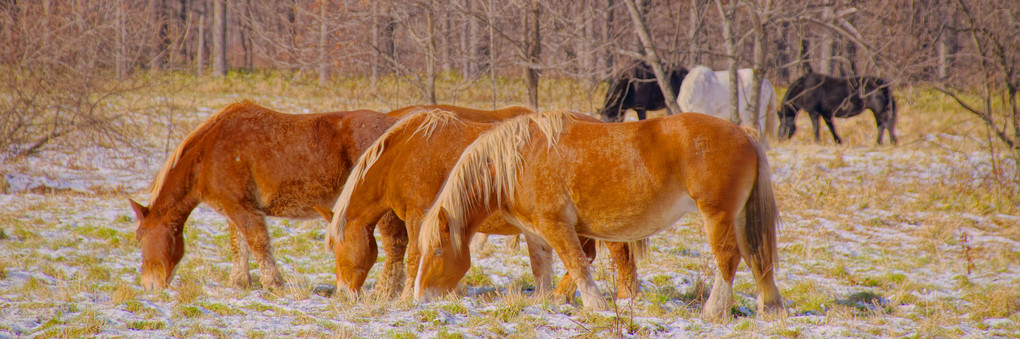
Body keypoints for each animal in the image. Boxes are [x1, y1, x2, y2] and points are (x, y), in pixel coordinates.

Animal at [128, 100, 397, 287]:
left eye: (140, 238)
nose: (149, 285)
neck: (208, 155)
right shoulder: (233, 208)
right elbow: (239, 245)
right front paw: (239, 282)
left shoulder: (244, 208)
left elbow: (258, 243)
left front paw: (273, 283)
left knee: (395, 243)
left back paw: (386, 291)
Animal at [322, 108, 640, 300]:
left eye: (336, 249)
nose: (342, 292)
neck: (405, 153)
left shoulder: (418, 217)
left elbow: (414, 258)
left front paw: (406, 297)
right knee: (587, 255)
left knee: (618, 255)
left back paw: (624, 297)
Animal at [412, 111, 779, 320]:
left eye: (438, 251)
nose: (420, 297)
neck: (517, 160)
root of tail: (744, 134)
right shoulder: (537, 231)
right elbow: (545, 268)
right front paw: (549, 303)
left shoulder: (556, 225)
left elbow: (576, 263)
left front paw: (596, 306)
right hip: (739, 218)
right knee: (756, 257)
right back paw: (771, 306)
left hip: (717, 215)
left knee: (727, 258)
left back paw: (714, 311)